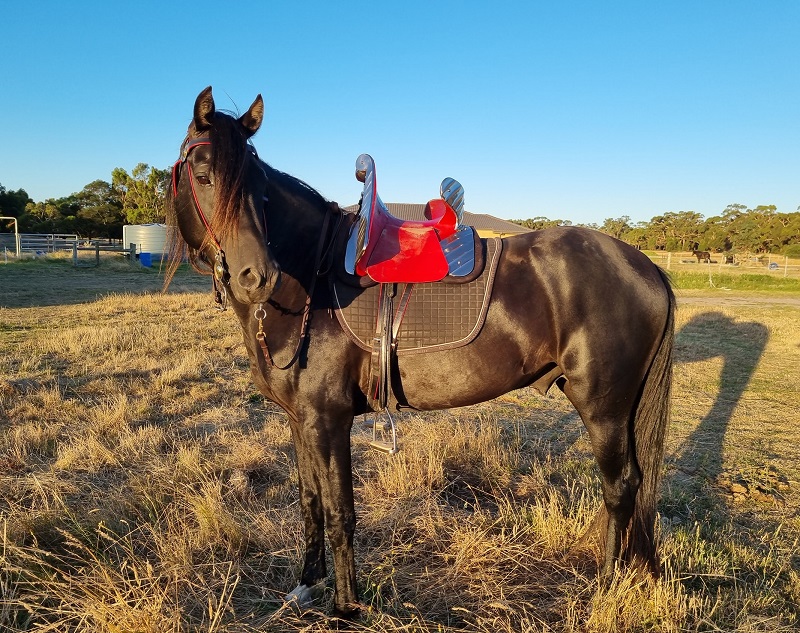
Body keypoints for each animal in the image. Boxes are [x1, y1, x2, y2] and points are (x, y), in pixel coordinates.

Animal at [164, 86, 676, 616]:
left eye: (261, 186)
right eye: (202, 175)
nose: (257, 276)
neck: (311, 276)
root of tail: (646, 266)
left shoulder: (328, 420)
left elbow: (340, 512)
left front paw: (346, 608)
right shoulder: (299, 419)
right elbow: (310, 503)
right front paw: (307, 584)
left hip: (604, 409)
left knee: (620, 489)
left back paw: (606, 586)